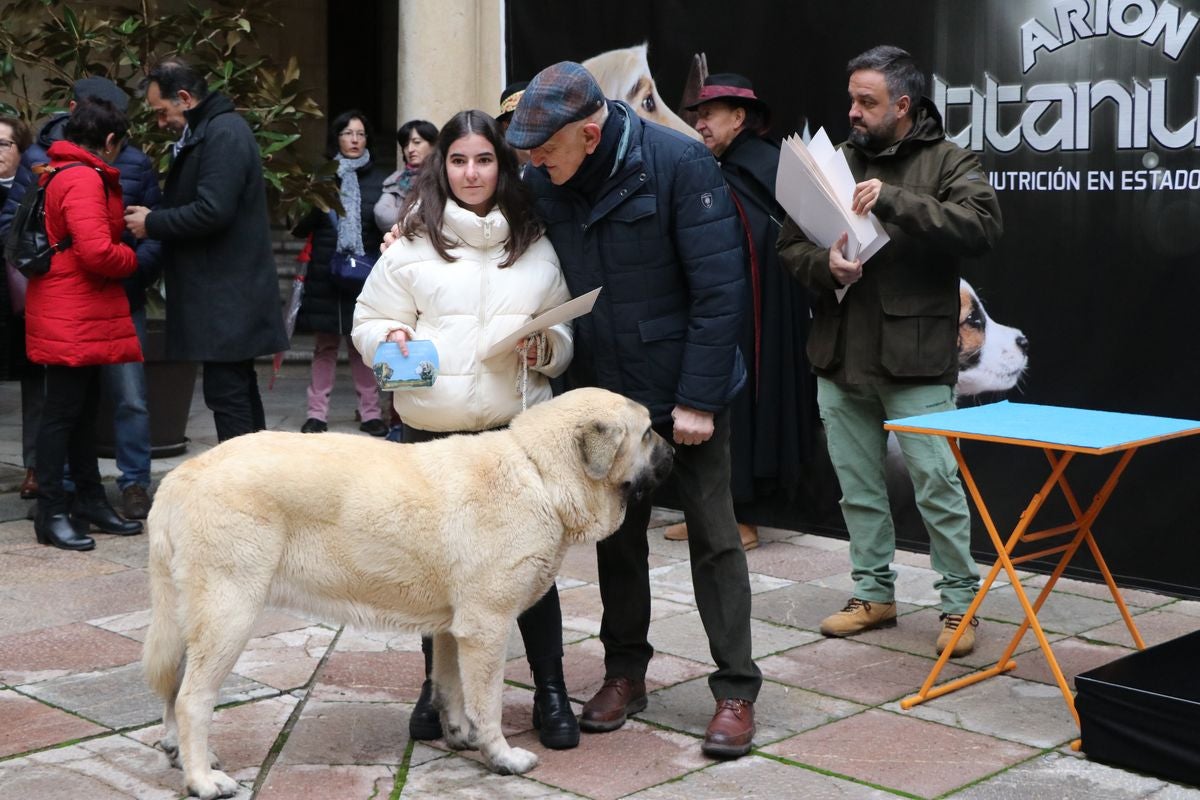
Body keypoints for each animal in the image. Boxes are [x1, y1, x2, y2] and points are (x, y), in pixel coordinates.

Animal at [144, 386, 672, 796]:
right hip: (230, 612)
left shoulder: (456, 628)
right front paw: (501, 757)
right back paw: (202, 780)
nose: (674, 451)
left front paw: (459, 735)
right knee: (193, 698)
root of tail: (182, 475)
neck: (539, 472)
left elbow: (451, 686)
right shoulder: (487, 628)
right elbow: (488, 702)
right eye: (648, 432)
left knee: (175, 684)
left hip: (196, 616)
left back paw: (182, 753)